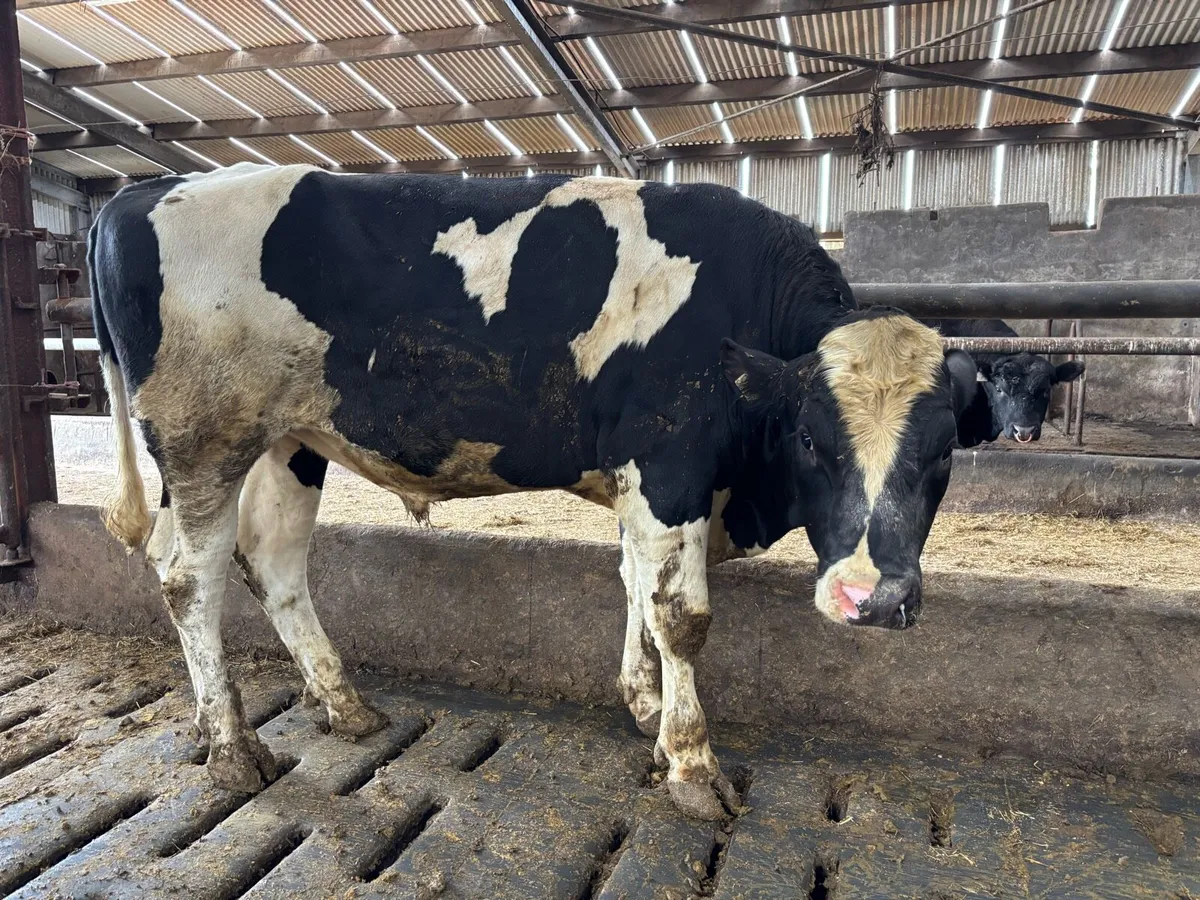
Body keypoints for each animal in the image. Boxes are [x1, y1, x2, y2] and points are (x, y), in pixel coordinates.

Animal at [91, 164, 978, 821]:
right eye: (812, 440)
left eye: (943, 451)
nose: (877, 597)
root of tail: (140, 191)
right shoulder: (671, 463)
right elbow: (681, 616)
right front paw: (694, 767)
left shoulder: (645, 484)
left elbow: (634, 585)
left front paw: (646, 709)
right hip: (202, 437)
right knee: (188, 577)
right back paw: (233, 749)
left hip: (290, 441)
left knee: (271, 563)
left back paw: (344, 705)